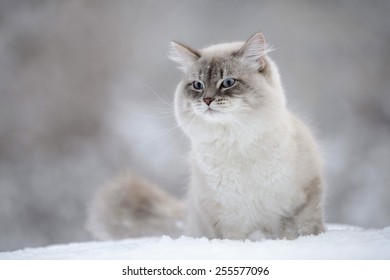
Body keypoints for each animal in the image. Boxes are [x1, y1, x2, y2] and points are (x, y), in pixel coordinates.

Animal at [88, 32, 326, 241]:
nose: (207, 100)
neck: (234, 144)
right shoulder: (225, 219)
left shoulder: (301, 203)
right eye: (198, 85)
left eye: (228, 82)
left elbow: (301, 232)